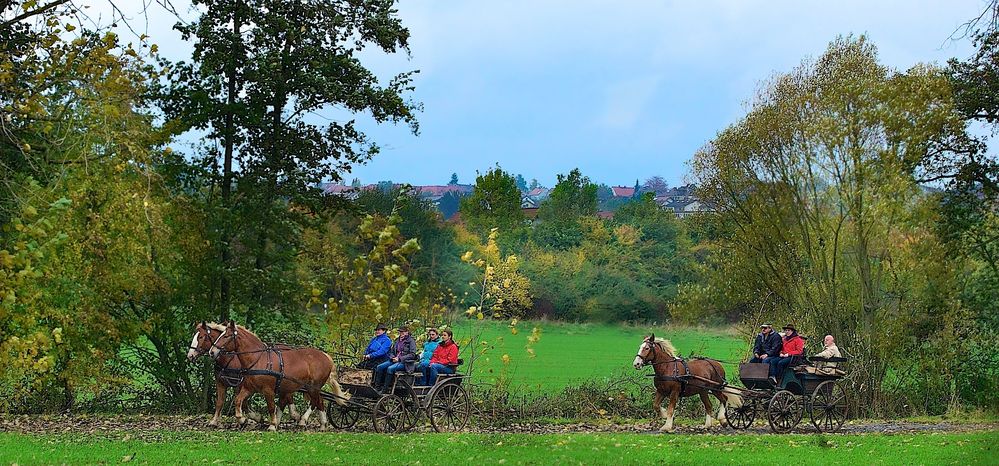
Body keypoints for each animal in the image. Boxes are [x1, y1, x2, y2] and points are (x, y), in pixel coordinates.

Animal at [205, 318, 350, 432]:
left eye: (226, 336)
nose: (212, 352)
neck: (258, 359)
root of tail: (326, 356)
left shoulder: (268, 390)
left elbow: (271, 407)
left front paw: (272, 425)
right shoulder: (248, 388)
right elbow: (238, 400)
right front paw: (242, 420)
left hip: (313, 387)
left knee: (316, 402)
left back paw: (305, 421)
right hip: (311, 388)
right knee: (319, 401)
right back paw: (322, 424)